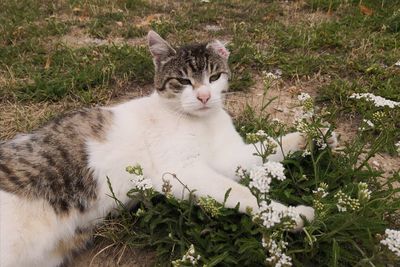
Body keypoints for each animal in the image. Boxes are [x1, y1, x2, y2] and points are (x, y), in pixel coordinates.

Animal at [0, 31, 336, 267]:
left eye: (214, 76)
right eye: (182, 81)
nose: (204, 96)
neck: (202, 122)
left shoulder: (229, 157)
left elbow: (270, 146)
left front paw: (315, 136)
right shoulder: (181, 172)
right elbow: (243, 193)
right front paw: (291, 215)